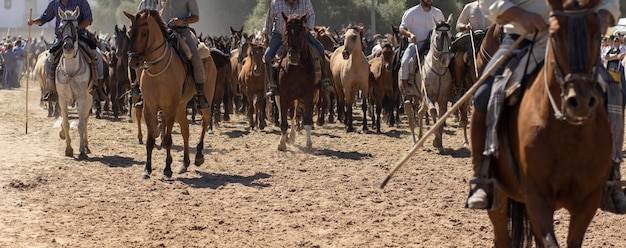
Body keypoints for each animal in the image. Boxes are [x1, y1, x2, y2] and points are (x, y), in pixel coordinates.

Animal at [55, 7, 93, 159]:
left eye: (76, 27)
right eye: (60, 27)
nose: (68, 46)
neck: (71, 70)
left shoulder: (82, 98)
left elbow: (81, 124)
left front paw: (81, 149)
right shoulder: (62, 98)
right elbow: (65, 123)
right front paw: (68, 148)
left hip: (89, 97)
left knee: (85, 120)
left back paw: (86, 146)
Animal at [123, 9, 217, 179]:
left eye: (144, 33)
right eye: (129, 32)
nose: (134, 61)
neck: (158, 71)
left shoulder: (170, 107)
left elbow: (167, 139)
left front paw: (167, 169)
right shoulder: (150, 107)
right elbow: (150, 139)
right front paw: (147, 169)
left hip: (204, 100)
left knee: (205, 122)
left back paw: (199, 156)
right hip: (181, 105)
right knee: (185, 129)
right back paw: (185, 163)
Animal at [276, 13, 320, 151]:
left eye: (301, 32)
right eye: (286, 33)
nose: (294, 57)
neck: (296, 69)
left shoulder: (308, 95)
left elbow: (307, 120)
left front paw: (308, 143)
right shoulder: (283, 95)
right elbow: (284, 122)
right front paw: (282, 144)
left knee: (294, 114)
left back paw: (292, 136)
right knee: (286, 115)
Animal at [412, 16, 450, 153]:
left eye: (450, 36)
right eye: (437, 37)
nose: (446, 60)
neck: (437, 71)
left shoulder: (443, 99)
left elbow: (442, 116)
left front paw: (440, 143)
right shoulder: (428, 97)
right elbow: (433, 112)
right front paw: (436, 140)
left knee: (420, 112)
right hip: (424, 98)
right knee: (421, 112)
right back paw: (419, 140)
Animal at [482, 0, 608, 247]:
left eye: (598, 34)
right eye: (555, 36)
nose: (579, 101)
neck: (568, 136)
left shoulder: (588, 201)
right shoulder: (537, 198)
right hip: (499, 197)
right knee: (502, 236)